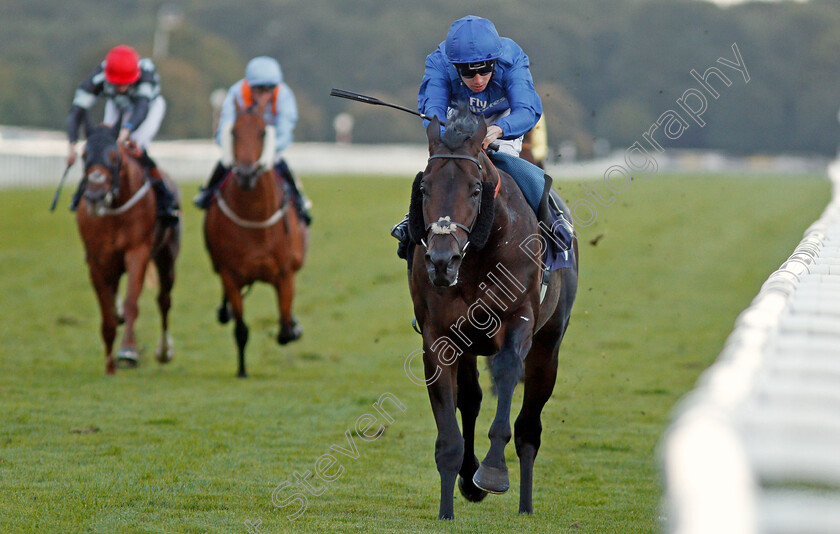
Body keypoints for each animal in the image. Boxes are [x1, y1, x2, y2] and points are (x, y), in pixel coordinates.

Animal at [76, 124, 180, 376]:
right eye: (84, 154)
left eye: (115, 156)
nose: (95, 196)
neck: (114, 210)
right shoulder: (97, 260)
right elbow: (107, 315)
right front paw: (109, 366)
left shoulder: (138, 252)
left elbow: (132, 303)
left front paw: (128, 352)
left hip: (167, 256)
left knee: (164, 300)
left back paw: (164, 351)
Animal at [203, 99, 308, 376]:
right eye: (233, 132)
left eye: (262, 132)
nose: (246, 174)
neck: (255, 222)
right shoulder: (230, 274)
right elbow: (240, 328)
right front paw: (242, 370)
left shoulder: (285, 274)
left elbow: (284, 328)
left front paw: (293, 328)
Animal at [406, 107, 576, 520]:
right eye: (425, 188)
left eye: (475, 189)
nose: (441, 261)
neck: (479, 255)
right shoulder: (440, 336)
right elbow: (450, 432)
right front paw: (448, 507)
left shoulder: (520, 324)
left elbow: (507, 373)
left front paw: (494, 472)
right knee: (471, 399)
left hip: (548, 347)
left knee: (529, 428)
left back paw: (526, 505)